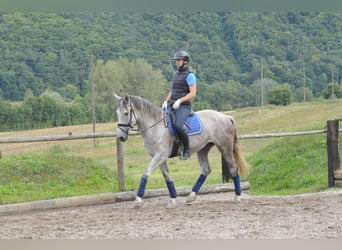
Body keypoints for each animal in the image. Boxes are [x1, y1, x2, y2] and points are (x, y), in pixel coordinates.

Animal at [115, 94, 248, 207]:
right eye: (117, 113)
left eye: (126, 113)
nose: (120, 137)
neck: (155, 126)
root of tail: (226, 117)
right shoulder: (159, 157)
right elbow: (168, 178)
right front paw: (172, 199)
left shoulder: (160, 156)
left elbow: (146, 173)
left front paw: (138, 199)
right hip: (203, 149)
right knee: (206, 170)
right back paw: (191, 196)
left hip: (224, 147)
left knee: (233, 168)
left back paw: (237, 196)